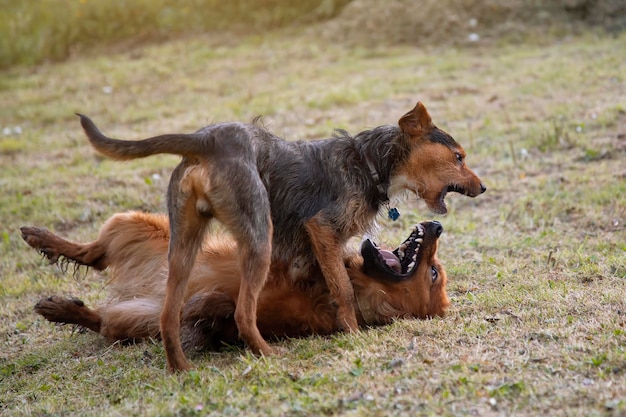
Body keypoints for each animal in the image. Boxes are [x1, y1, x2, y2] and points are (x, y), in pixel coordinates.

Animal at [20, 211, 448, 352]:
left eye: (432, 273)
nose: (436, 225)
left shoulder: (241, 325)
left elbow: (221, 309)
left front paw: (199, 309)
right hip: (135, 224)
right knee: (93, 252)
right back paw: (42, 239)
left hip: (137, 319)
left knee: (103, 317)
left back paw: (62, 309)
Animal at [73, 101, 482, 370]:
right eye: (459, 157)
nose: (484, 188)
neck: (367, 162)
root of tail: (208, 139)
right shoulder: (323, 231)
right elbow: (344, 292)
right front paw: (353, 334)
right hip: (258, 239)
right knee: (242, 312)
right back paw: (267, 355)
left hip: (183, 247)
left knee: (168, 314)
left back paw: (181, 368)